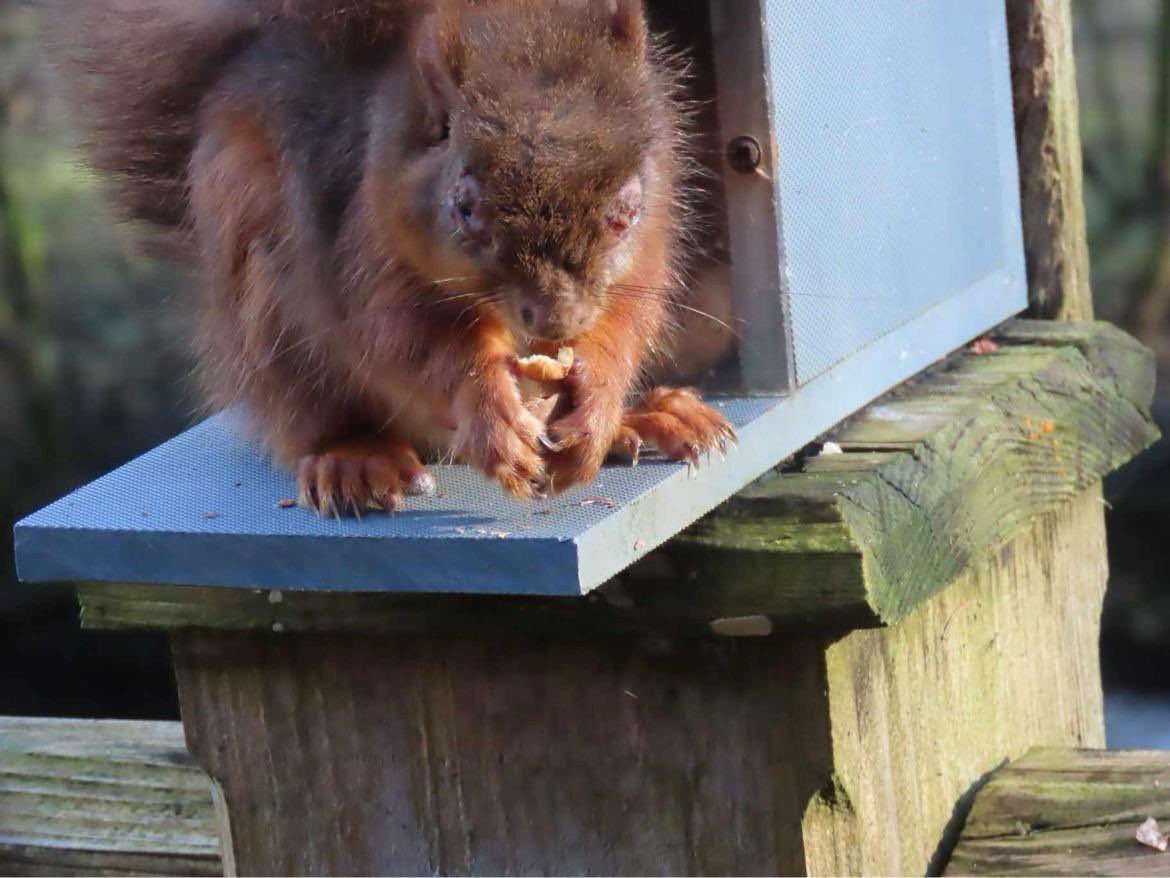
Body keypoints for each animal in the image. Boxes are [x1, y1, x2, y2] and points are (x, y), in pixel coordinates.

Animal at [52, 0, 737, 515]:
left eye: (627, 209)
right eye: (465, 207)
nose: (556, 320)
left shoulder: (645, 255)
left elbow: (626, 320)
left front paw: (597, 401)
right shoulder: (364, 251)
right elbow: (405, 341)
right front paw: (489, 411)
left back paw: (647, 419)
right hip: (271, 311)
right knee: (316, 412)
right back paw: (354, 458)